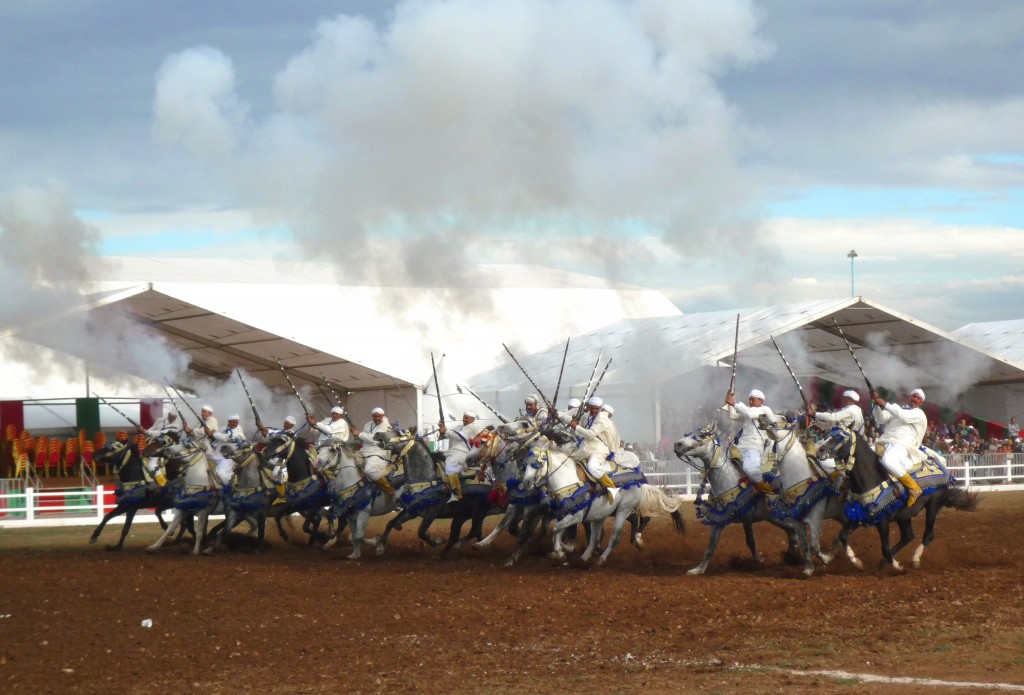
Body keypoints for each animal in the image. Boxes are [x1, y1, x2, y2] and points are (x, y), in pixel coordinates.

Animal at [520, 442, 688, 569]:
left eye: (538, 463)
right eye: (525, 464)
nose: (526, 483)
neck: (570, 482)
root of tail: (640, 479)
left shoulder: (575, 516)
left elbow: (556, 530)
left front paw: (561, 554)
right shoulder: (561, 514)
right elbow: (557, 532)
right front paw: (563, 552)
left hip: (623, 510)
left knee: (617, 536)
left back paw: (601, 560)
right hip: (600, 515)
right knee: (596, 538)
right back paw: (585, 558)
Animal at [815, 423, 974, 569]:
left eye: (838, 437)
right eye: (827, 435)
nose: (820, 450)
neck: (872, 478)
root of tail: (943, 468)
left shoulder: (882, 520)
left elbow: (884, 547)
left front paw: (897, 567)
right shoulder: (861, 515)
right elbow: (842, 535)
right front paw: (855, 561)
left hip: (933, 506)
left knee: (928, 535)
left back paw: (914, 559)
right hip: (904, 515)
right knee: (908, 536)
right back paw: (884, 562)